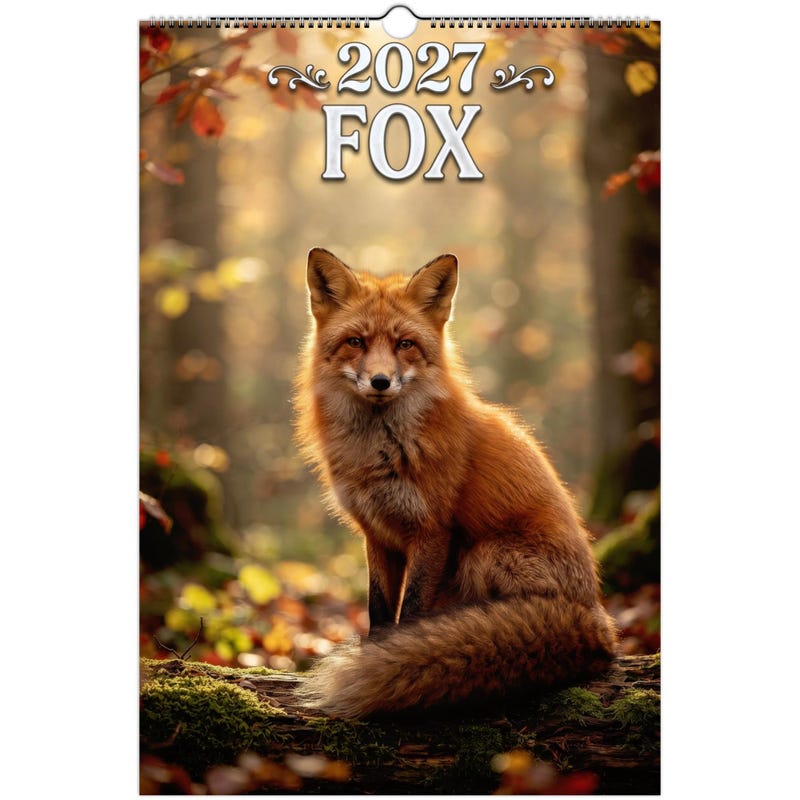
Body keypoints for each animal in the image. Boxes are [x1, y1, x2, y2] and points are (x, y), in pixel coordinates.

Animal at [293, 247, 618, 718]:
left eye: (405, 344)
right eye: (356, 342)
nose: (380, 381)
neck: (379, 452)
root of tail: (599, 619)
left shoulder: (432, 531)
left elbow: (409, 615)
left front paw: (395, 660)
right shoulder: (377, 534)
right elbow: (378, 612)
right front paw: (377, 655)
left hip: (485, 554)